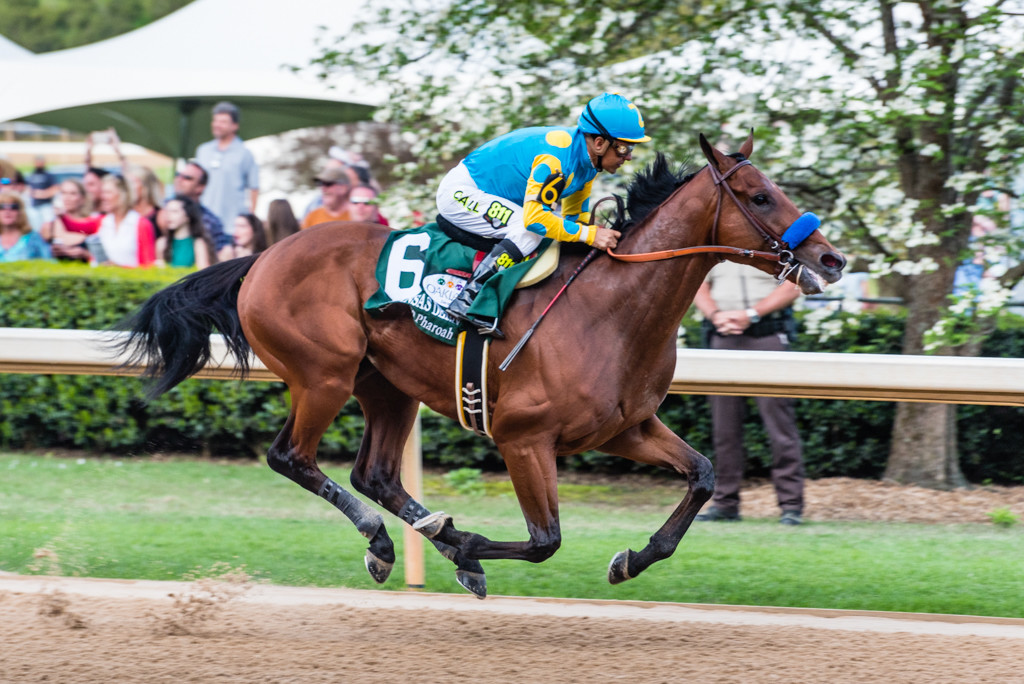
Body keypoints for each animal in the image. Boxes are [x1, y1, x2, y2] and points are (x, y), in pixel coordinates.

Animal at [119, 133, 843, 597]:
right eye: (758, 195)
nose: (832, 259)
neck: (611, 309)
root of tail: (263, 256)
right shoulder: (524, 438)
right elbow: (546, 538)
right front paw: (469, 547)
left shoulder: (626, 428)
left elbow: (702, 476)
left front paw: (629, 560)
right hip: (324, 374)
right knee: (291, 457)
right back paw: (392, 542)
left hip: (387, 385)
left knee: (374, 473)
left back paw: (422, 536)